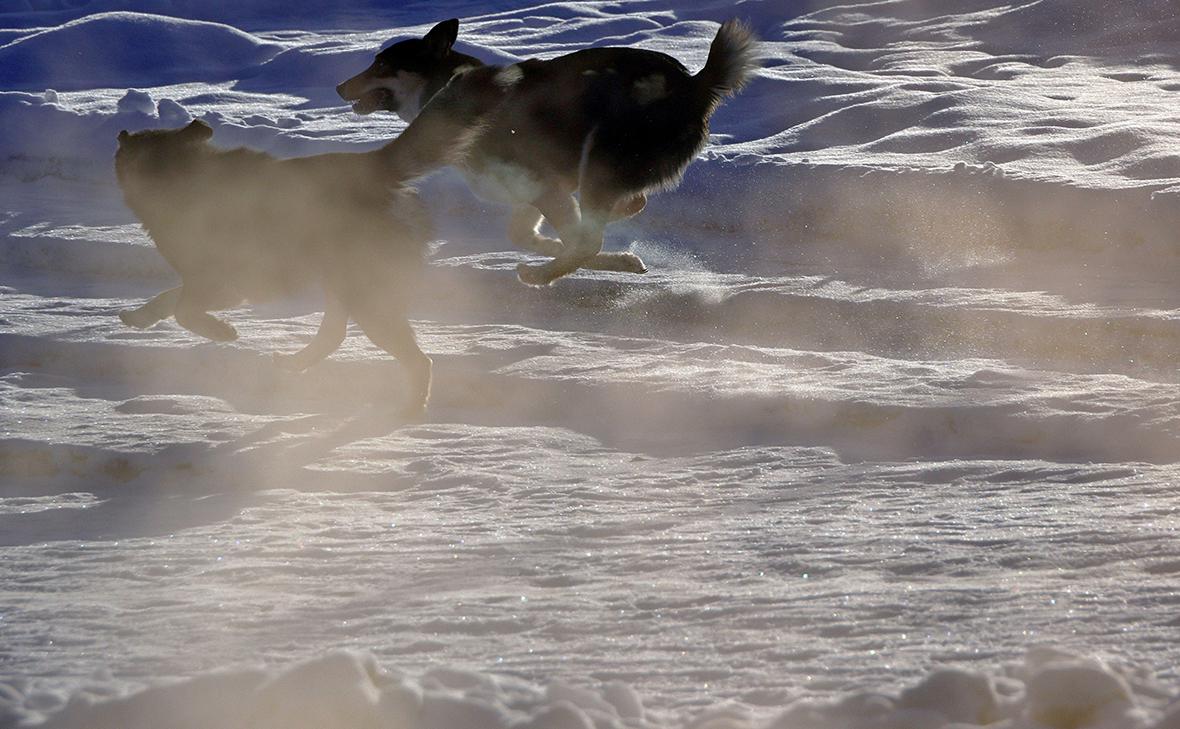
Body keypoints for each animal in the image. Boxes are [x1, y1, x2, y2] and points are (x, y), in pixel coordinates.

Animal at [112, 122, 443, 410]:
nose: (121, 136)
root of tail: (375, 169)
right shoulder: (210, 285)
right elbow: (167, 299)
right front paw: (139, 317)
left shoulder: (220, 287)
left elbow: (182, 310)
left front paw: (222, 332)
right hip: (342, 287)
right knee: (334, 335)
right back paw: (295, 363)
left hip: (365, 297)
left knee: (419, 361)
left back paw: (409, 411)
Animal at [335, 18, 755, 285]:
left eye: (382, 64)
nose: (339, 87)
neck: (445, 84)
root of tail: (696, 83)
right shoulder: (538, 187)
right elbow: (529, 235)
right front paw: (616, 258)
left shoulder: (541, 183)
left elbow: (576, 240)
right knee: (624, 208)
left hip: (603, 155)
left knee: (594, 231)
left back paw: (540, 275)